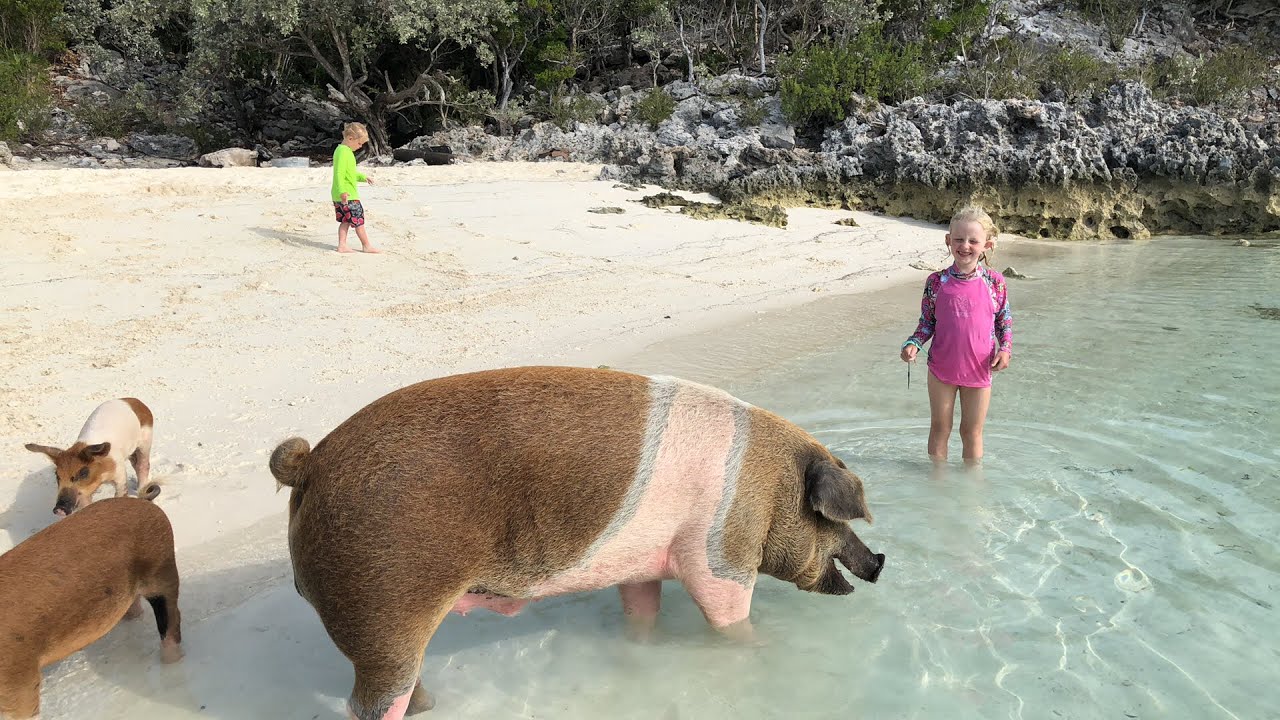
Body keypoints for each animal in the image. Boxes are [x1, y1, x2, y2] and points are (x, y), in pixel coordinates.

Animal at [269, 366, 885, 720]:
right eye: (833, 520)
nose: (879, 561)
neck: (770, 485)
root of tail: (310, 464)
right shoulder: (719, 556)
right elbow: (728, 618)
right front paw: (764, 649)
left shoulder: (644, 562)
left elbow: (642, 607)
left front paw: (641, 644)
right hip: (382, 604)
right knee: (370, 700)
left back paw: (432, 706)